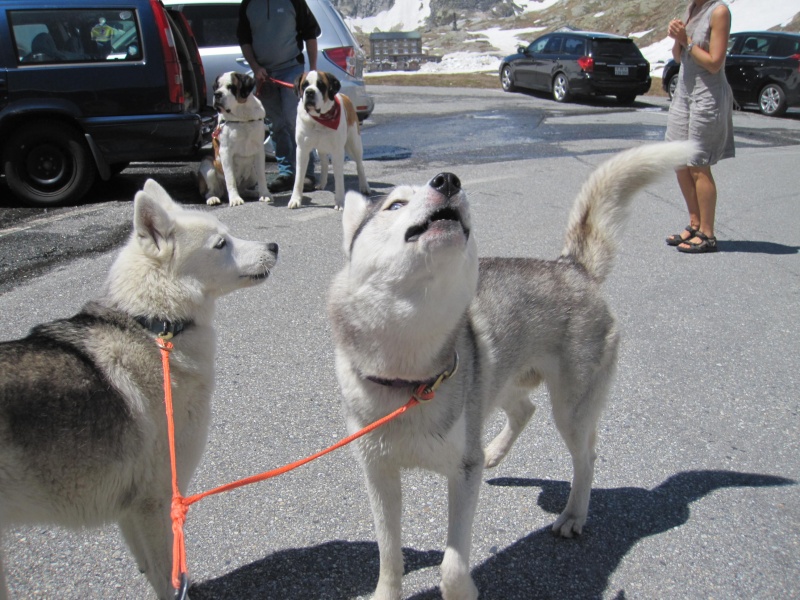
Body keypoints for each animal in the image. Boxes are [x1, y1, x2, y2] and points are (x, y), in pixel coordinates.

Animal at [0, 179, 278, 600]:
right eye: (220, 243)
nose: (274, 246)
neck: (156, 326)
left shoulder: (130, 509)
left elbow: (154, 573)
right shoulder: (155, 500)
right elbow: (170, 578)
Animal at [198, 70, 274, 205]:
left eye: (231, 87)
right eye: (217, 87)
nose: (217, 94)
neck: (241, 116)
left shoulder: (259, 151)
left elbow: (262, 176)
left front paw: (265, 194)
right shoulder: (225, 152)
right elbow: (230, 178)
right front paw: (235, 199)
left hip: (251, 174)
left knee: (243, 188)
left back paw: (253, 192)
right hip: (207, 166)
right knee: (209, 191)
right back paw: (213, 198)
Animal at [290, 71, 372, 211]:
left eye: (321, 85)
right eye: (304, 85)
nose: (309, 92)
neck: (319, 119)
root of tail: (344, 96)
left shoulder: (337, 151)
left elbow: (339, 177)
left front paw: (340, 202)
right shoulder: (302, 149)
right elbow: (299, 177)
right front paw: (295, 200)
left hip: (354, 143)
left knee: (359, 165)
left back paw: (364, 186)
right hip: (320, 148)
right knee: (323, 162)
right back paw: (322, 183)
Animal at [328, 142, 696, 600]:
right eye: (395, 204)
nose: (448, 180)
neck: (408, 373)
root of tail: (570, 266)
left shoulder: (462, 475)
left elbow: (452, 566)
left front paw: (462, 591)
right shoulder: (379, 473)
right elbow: (389, 556)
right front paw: (386, 591)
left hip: (570, 411)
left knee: (585, 455)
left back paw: (573, 514)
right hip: (499, 382)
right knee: (525, 410)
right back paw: (496, 452)